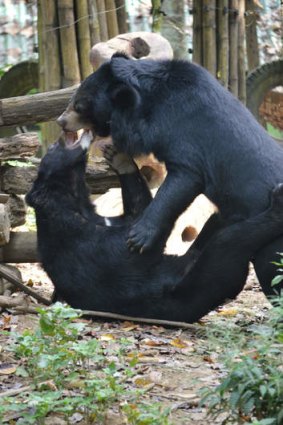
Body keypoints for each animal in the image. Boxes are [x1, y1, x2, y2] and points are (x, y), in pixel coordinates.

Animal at [25, 132, 283, 322]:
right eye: (52, 149)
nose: (61, 135)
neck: (74, 202)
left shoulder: (104, 219)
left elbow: (139, 211)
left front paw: (119, 158)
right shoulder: (88, 245)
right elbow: (137, 245)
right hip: (206, 278)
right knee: (230, 241)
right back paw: (275, 204)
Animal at [57, 54, 283, 296]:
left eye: (79, 105)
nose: (60, 121)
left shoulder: (184, 136)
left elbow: (178, 184)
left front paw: (138, 239)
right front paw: (116, 154)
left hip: (271, 245)